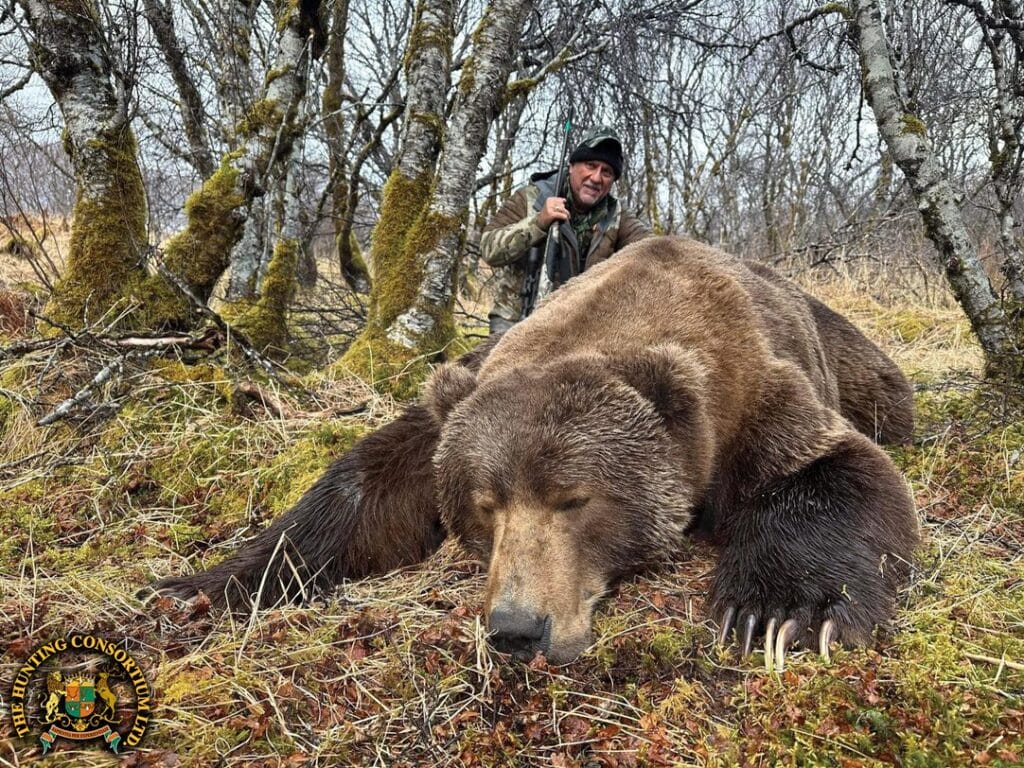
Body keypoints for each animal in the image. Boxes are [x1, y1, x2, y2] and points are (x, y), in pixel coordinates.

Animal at [148, 236, 918, 669]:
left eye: (575, 499)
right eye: (485, 506)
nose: (517, 629)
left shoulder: (745, 396)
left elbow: (832, 467)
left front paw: (779, 615)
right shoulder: (462, 394)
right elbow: (363, 489)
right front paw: (198, 587)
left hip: (851, 353)